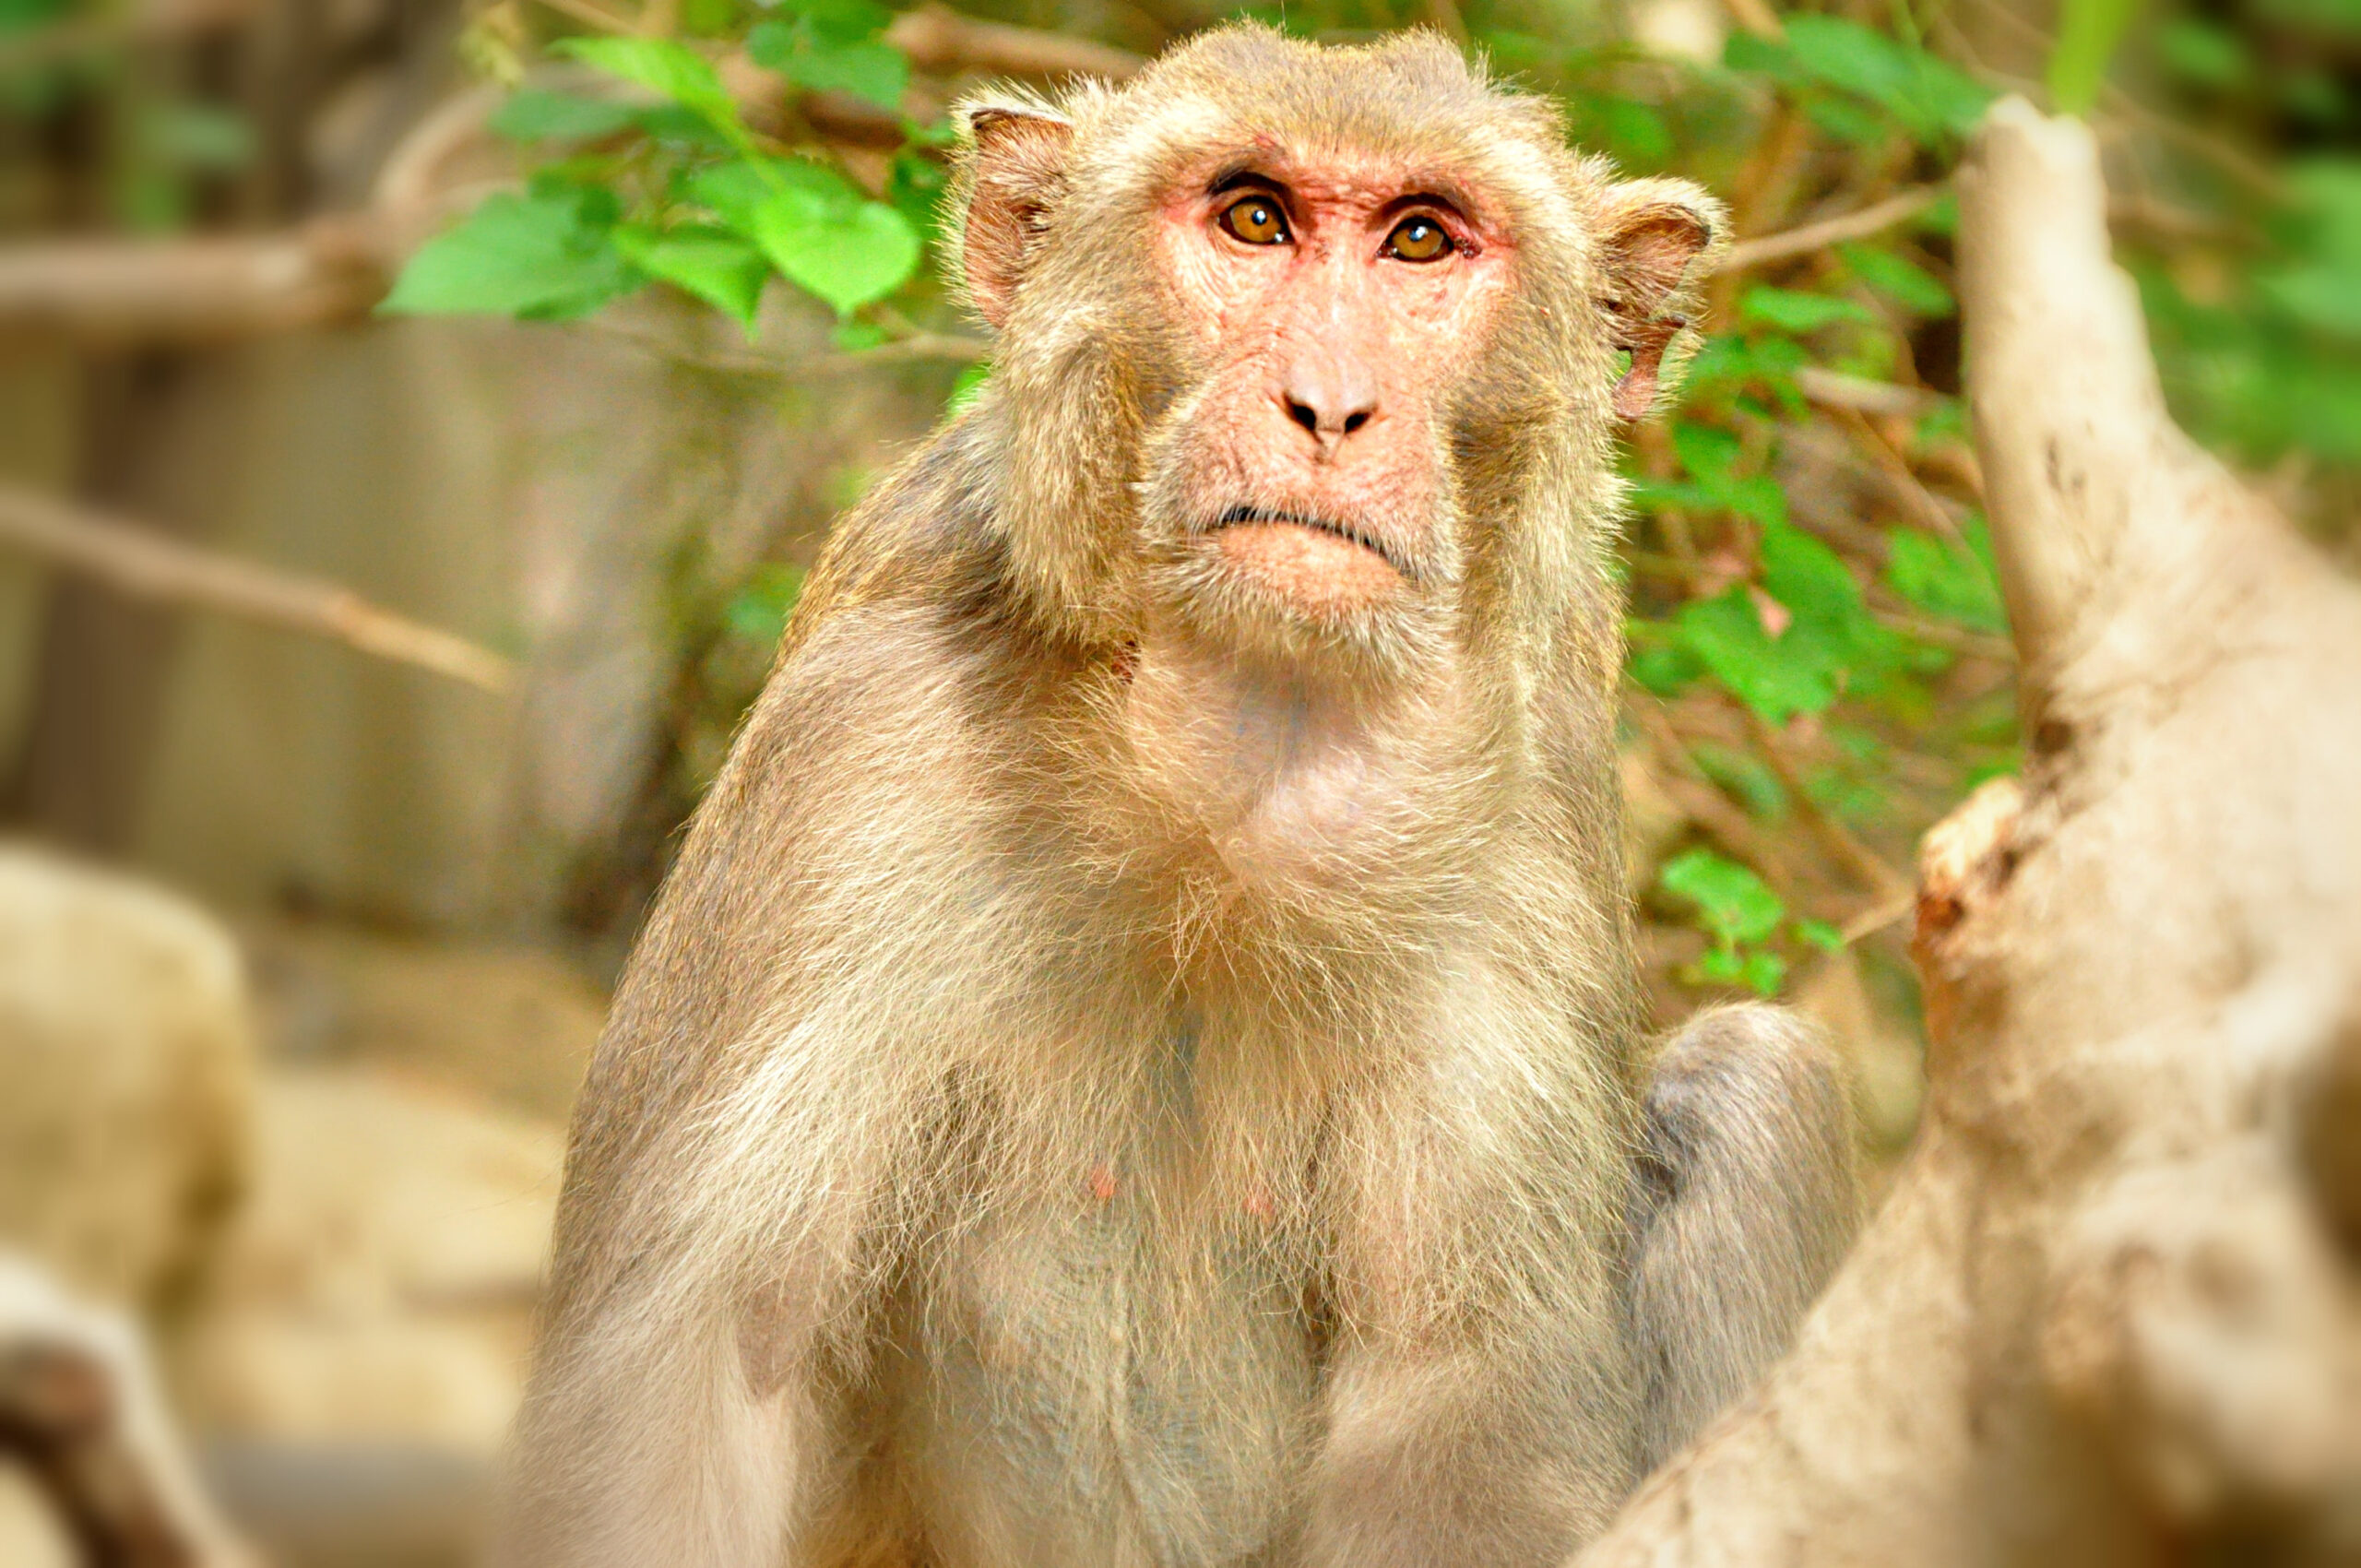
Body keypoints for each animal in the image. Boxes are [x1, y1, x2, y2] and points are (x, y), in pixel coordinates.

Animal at [503, 27, 1860, 1568]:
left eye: (1420, 240)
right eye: (1253, 221)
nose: (1330, 402)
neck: (1235, 775)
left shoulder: (1526, 820)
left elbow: (1461, 1420)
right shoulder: (860, 753)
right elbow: (695, 1377)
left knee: (1757, 1082)